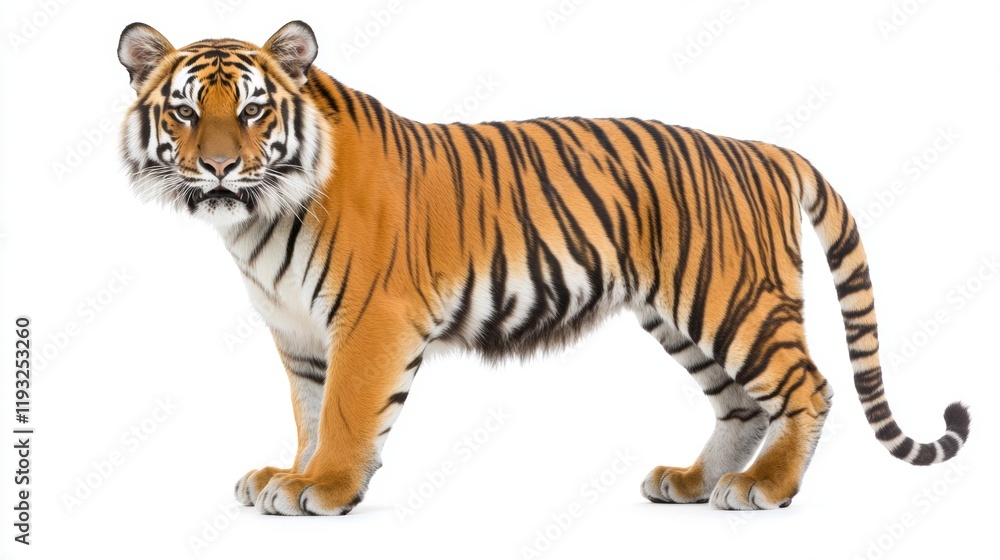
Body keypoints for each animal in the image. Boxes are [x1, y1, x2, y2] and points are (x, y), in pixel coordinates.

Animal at [117, 20, 970, 515]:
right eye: (185, 111)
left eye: (253, 109)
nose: (220, 168)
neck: (258, 216)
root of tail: (765, 148)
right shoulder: (298, 334)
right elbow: (308, 410)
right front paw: (288, 474)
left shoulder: (370, 321)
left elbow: (348, 414)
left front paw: (321, 488)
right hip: (682, 315)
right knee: (742, 405)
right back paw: (693, 483)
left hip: (733, 300)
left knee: (807, 387)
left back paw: (768, 488)